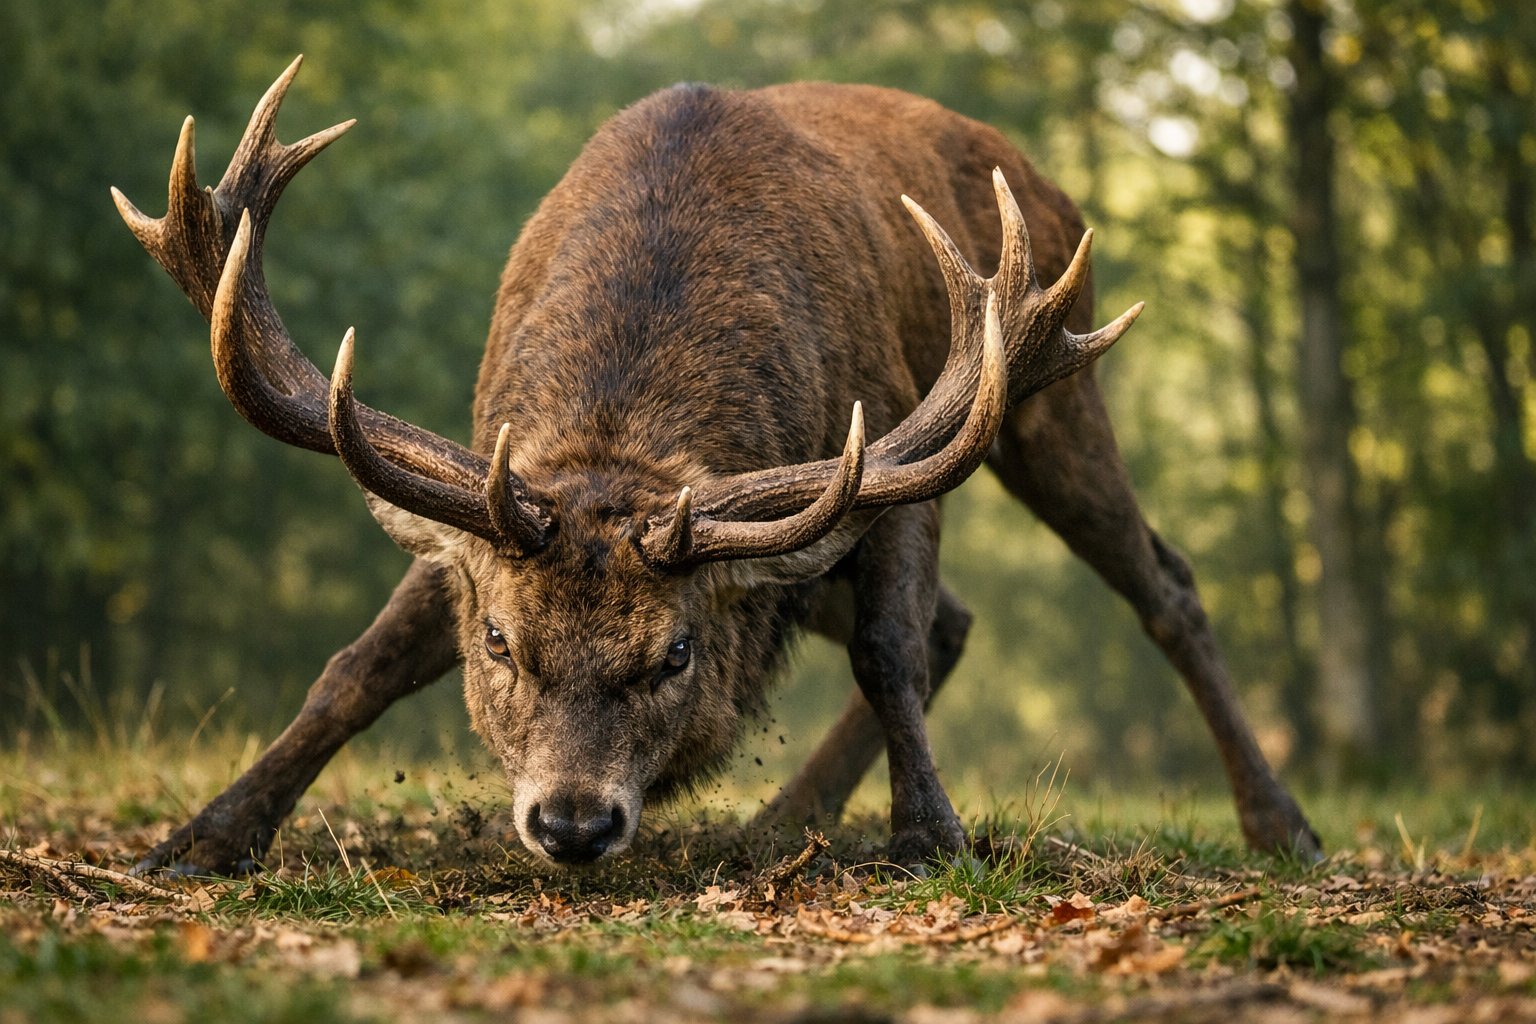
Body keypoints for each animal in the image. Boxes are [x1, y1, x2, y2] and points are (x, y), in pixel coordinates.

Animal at [112, 57, 1318, 872]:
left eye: (675, 652)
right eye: (500, 642)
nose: (574, 821)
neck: (627, 425)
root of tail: (1044, 181)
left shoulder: (888, 445)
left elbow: (890, 652)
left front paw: (930, 836)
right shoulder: (485, 498)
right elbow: (353, 670)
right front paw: (202, 837)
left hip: (1051, 400)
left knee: (1164, 585)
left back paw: (1282, 823)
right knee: (962, 617)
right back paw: (784, 815)